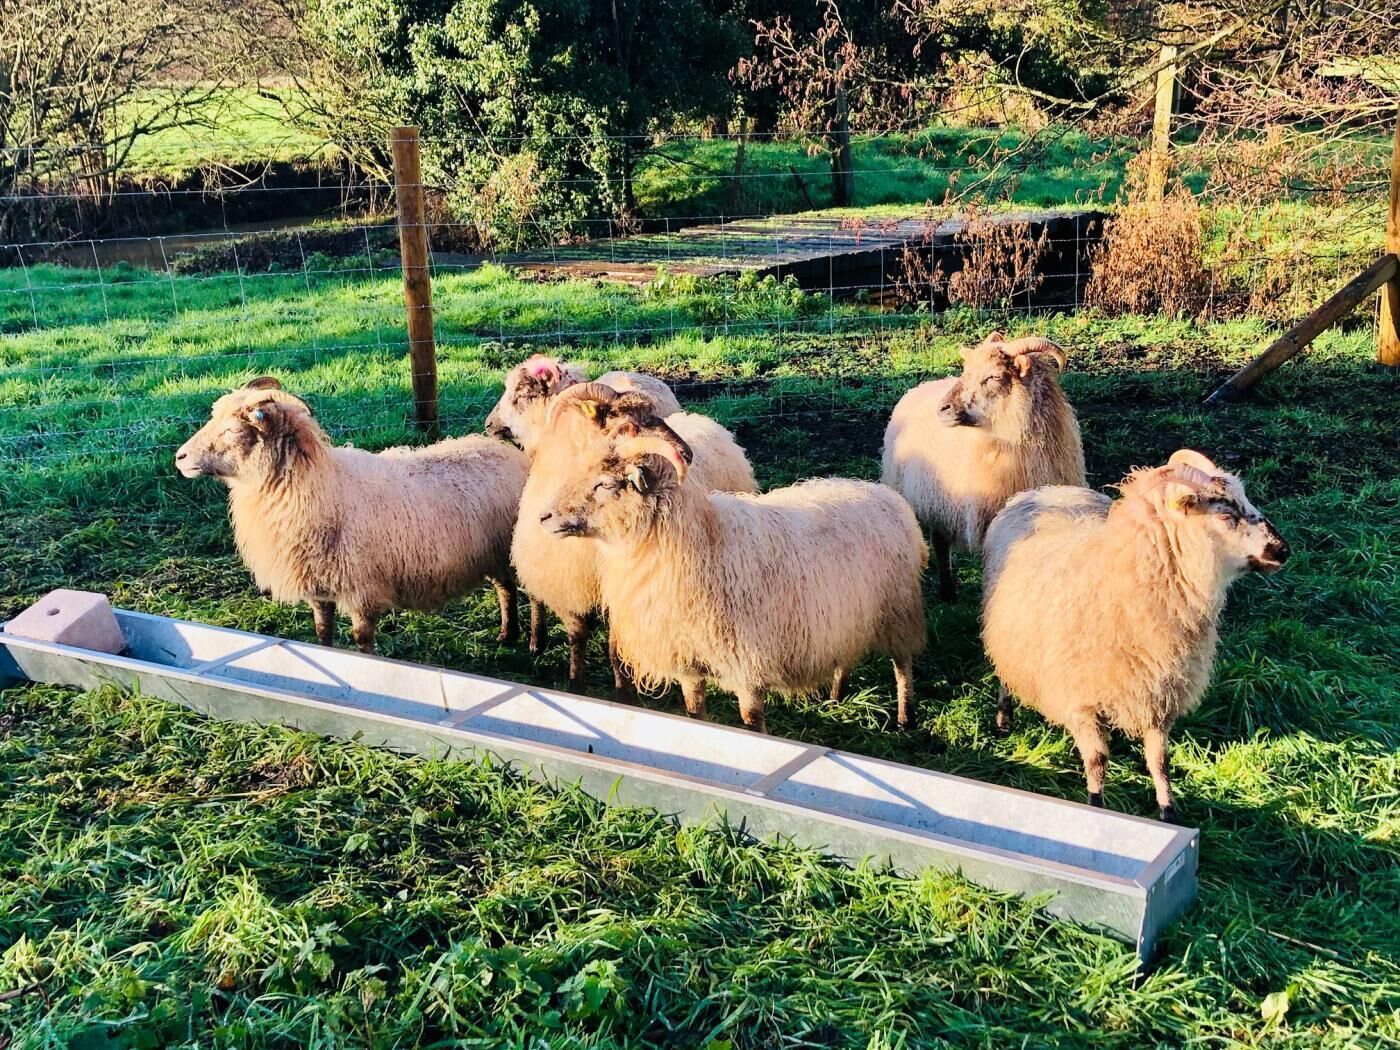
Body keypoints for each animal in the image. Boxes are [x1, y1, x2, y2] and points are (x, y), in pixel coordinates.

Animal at [175, 377, 531, 653]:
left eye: (234, 431)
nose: (179, 457)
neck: (320, 487)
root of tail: (503, 450)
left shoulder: (361, 589)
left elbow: (362, 639)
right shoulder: (318, 588)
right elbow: (323, 631)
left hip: (502, 548)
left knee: (507, 588)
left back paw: (511, 635)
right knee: (504, 587)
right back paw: (507, 635)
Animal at [511, 381, 757, 696]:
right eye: (625, 423)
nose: (687, 454)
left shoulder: (625, 597)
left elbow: (616, 649)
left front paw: (623, 692)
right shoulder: (568, 583)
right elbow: (577, 636)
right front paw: (576, 683)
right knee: (534, 596)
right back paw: (536, 641)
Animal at [540, 414, 928, 733]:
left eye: (605, 484)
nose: (544, 517)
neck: (697, 544)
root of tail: (885, 494)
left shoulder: (748, 667)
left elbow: (752, 724)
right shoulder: (688, 665)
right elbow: (695, 712)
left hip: (898, 608)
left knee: (903, 663)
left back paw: (905, 718)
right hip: (848, 615)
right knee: (847, 654)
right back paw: (835, 696)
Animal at [882, 332, 1085, 601]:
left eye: (994, 377)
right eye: (966, 371)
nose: (942, 408)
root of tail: (923, 385)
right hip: (933, 499)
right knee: (940, 542)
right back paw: (947, 592)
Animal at [980, 449, 1291, 821]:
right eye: (1226, 514)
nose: (1282, 550)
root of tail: (1046, 490)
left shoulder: (1159, 699)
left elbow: (1160, 762)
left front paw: (1168, 811)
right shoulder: (1081, 702)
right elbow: (1097, 762)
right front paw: (1096, 806)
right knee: (1004, 673)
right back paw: (1003, 718)